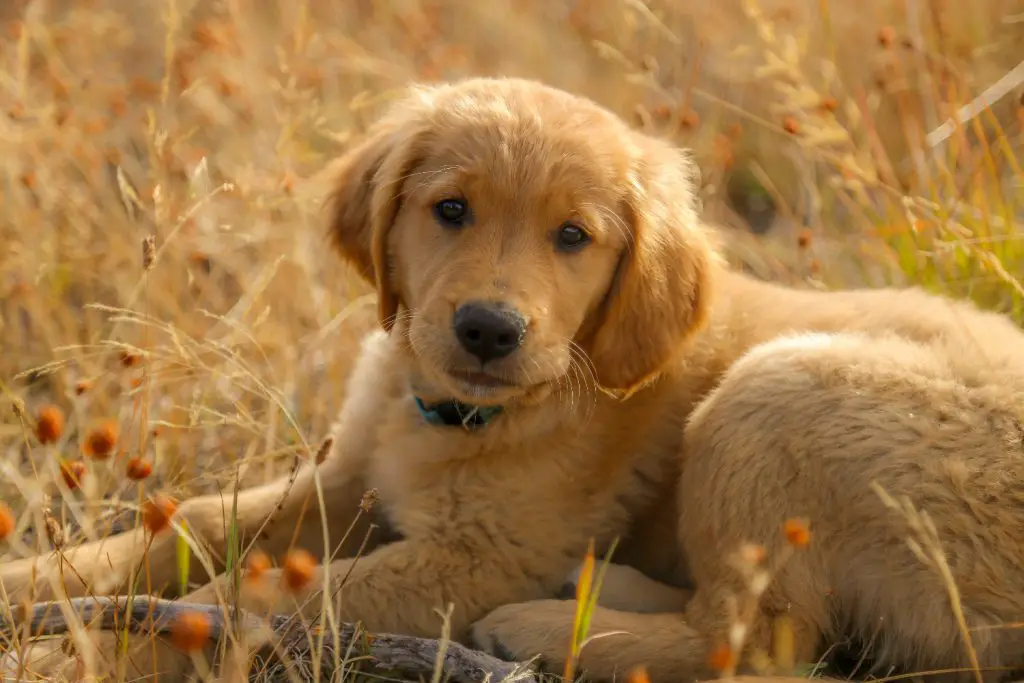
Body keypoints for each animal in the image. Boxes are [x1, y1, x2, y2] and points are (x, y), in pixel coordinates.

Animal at [2, 74, 1024, 683]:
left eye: (573, 236)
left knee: (756, 640)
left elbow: (237, 599)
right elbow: (184, 531)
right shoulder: (344, 478)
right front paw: (37, 588)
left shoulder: (477, 556)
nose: (489, 328)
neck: (460, 411)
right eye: (451, 209)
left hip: (775, 391)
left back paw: (537, 627)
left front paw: (92, 653)